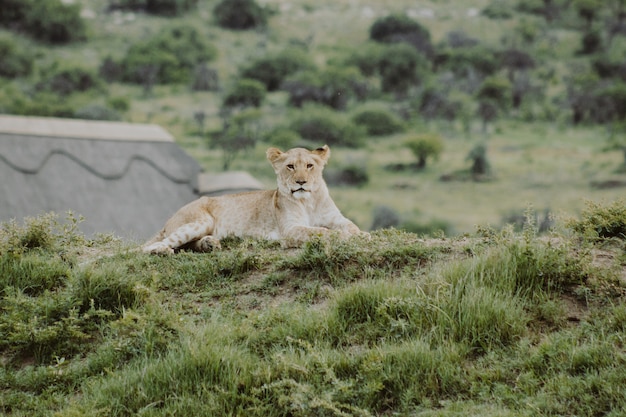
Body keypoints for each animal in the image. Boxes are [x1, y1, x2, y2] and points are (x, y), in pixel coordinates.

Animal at [141, 145, 366, 254]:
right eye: (290, 166)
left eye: (310, 166)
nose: (301, 182)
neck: (309, 201)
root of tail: (169, 219)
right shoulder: (290, 229)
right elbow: (320, 231)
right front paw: (345, 237)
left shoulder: (336, 218)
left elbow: (351, 226)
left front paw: (362, 235)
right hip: (201, 220)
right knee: (147, 248)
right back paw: (161, 251)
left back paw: (209, 244)